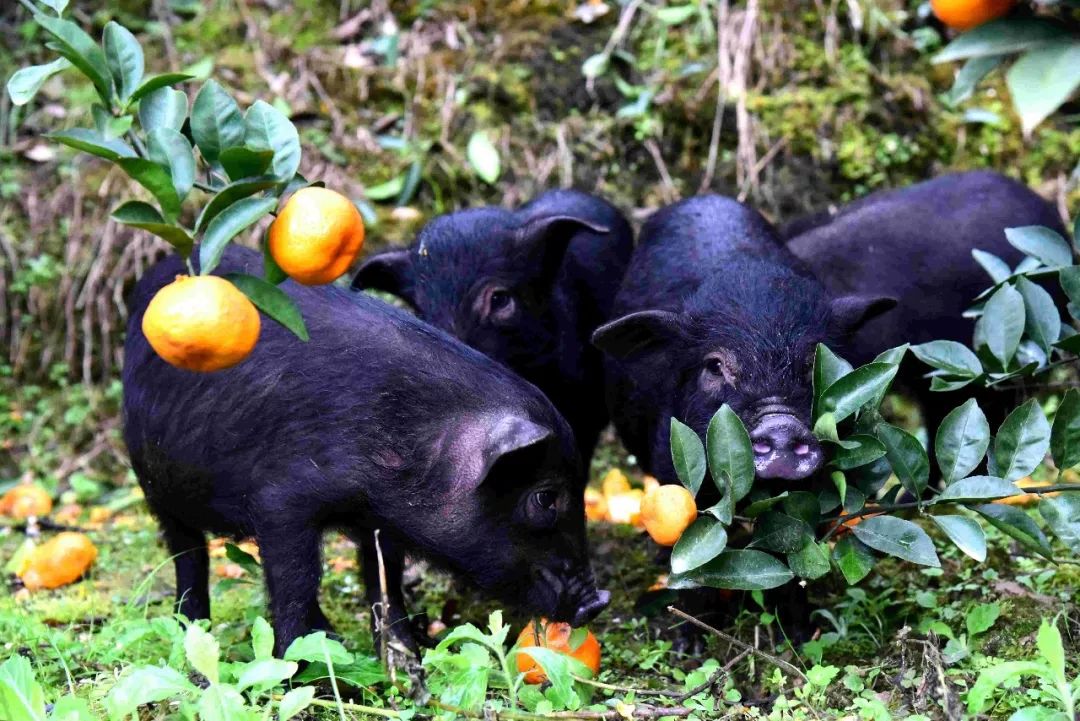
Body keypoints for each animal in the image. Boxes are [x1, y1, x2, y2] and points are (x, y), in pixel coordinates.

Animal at [123, 245, 613, 656]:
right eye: (545, 497)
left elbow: (385, 584)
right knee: (188, 556)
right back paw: (193, 630)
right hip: (156, 485)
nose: (597, 602)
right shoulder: (280, 501)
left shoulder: (380, 524)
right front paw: (300, 665)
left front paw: (404, 653)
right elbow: (295, 580)